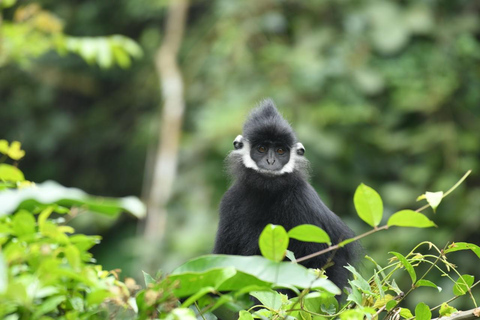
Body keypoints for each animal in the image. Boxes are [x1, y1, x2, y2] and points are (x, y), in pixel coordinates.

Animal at [212, 99, 358, 294]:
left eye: (281, 151)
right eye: (262, 148)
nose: (271, 161)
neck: (267, 194)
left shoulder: (302, 200)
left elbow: (331, 258)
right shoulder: (230, 200)